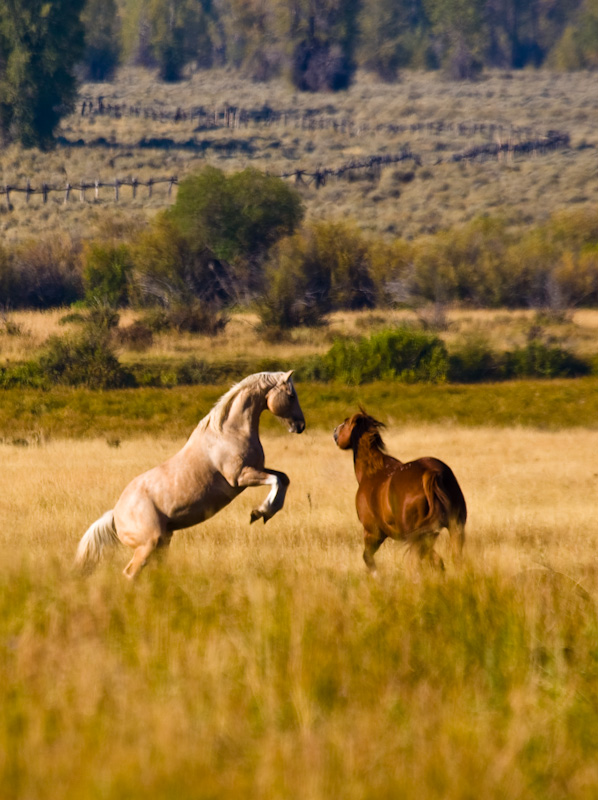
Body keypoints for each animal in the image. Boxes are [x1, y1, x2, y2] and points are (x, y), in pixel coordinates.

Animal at [75, 372, 308, 580]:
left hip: (163, 542)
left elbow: (283, 478)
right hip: (149, 544)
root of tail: (115, 515)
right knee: (130, 573)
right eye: (291, 395)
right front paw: (259, 512)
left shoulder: (257, 469)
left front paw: (265, 513)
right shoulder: (241, 477)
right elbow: (276, 480)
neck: (229, 433)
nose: (300, 426)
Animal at [332, 410, 468, 572]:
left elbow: (367, 557)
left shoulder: (373, 533)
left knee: (416, 563)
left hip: (419, 535)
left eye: (345, 422)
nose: (335, 431)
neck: (372, 472)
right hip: (454, 527)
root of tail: (431, 473)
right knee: (454, 557)